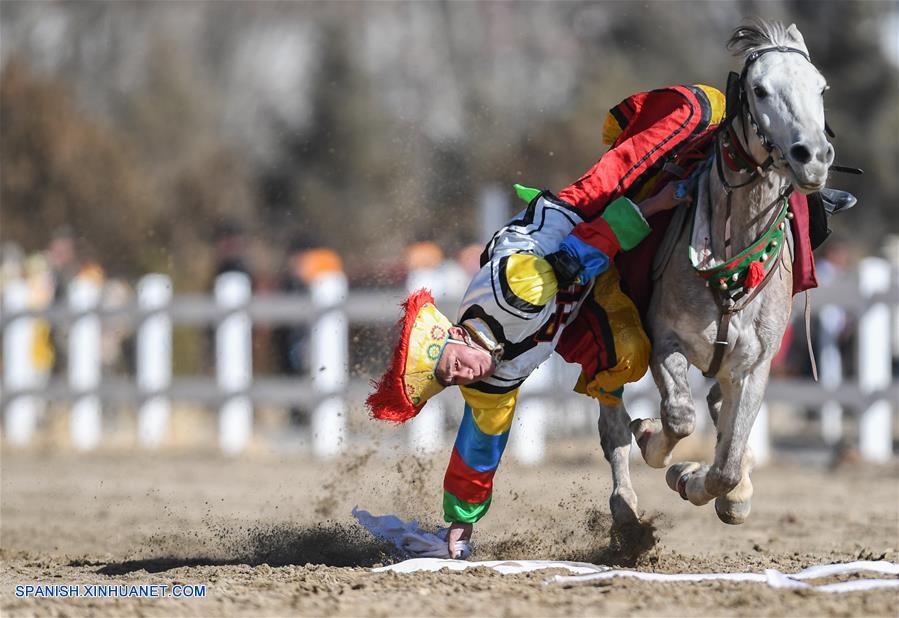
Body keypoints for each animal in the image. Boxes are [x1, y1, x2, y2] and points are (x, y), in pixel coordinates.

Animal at [596, 21, 836, 528]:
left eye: (821, 88)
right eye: (760, 90)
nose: (812, 156)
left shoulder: (755, 364)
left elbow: (725, 464)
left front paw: (701, 480)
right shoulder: (665, 340)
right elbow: (678, 417)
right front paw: (658, 446)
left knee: (719, 414)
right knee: (612, 424)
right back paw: (625, 505)